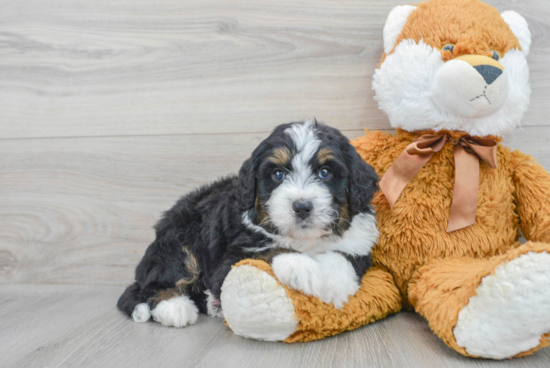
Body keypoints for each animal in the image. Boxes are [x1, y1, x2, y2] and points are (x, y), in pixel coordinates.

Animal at [118, 119, 382, 326]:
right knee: (151, 285)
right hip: (179, 240)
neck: (304, 240)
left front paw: (333, 285)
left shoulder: (359, 244)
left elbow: (343, 259)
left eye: (325, 172)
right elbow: (269, 250)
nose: (302, 206)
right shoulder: (229, 259)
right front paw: (302, 268)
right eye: (278, 175)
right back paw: (174, 307)